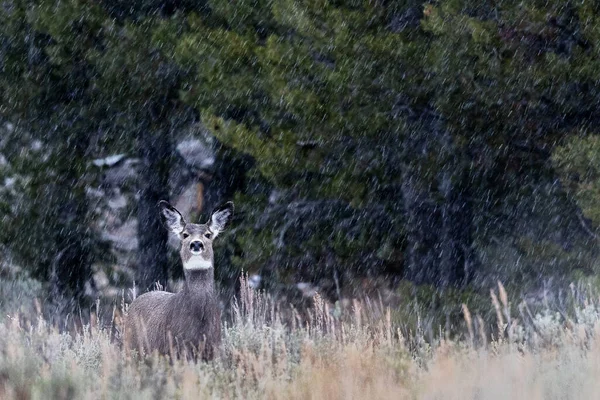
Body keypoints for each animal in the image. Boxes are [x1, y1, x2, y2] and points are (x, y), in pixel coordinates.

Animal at [123, 200, 233, 360]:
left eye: (208, 234)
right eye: (185, 234)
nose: (196, 243)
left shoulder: (215, 346)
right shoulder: (178, 346)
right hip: (131, 347)